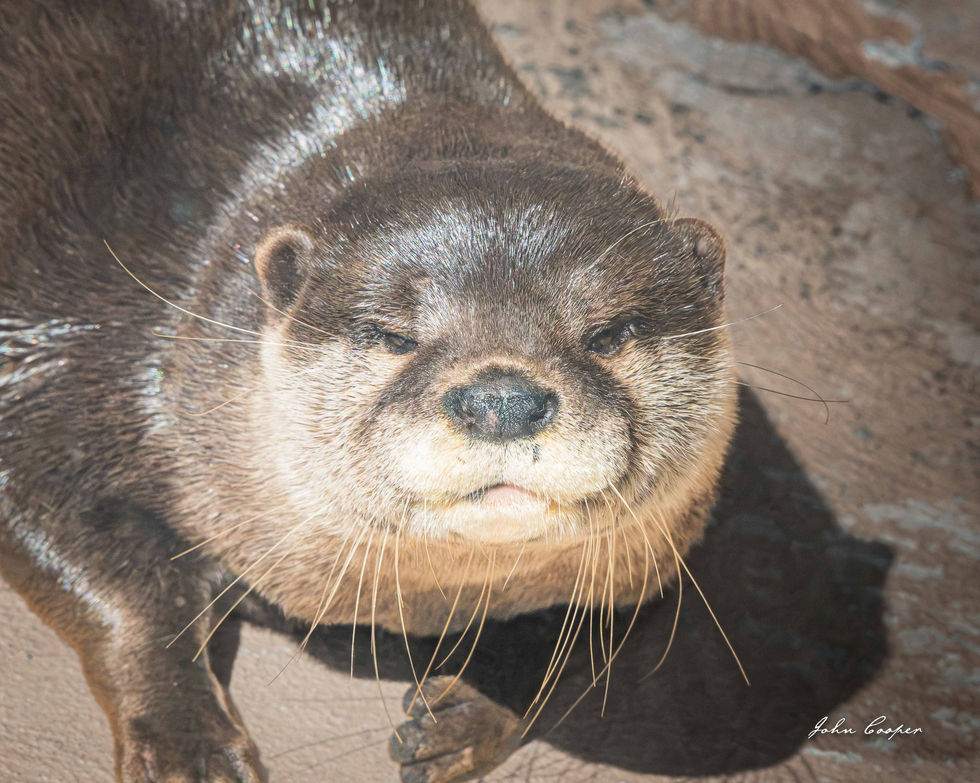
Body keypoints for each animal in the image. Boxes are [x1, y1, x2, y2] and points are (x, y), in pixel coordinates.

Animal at [0, 1, 736, 781]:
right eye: (392, 335)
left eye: (609, 332)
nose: (501, 400)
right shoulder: (67, 352)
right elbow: (128, 590)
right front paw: (188, 746)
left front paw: (466, 714)